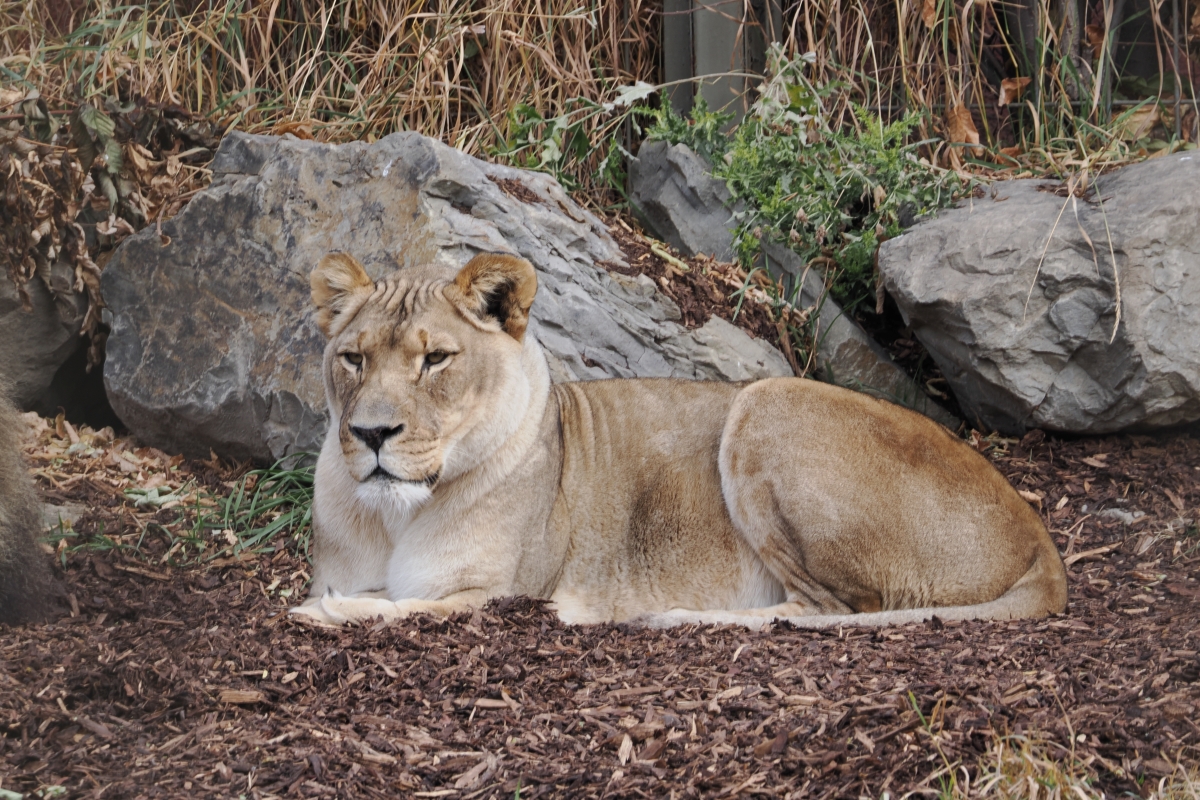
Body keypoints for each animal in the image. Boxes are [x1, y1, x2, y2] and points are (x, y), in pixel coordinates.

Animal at [291, 252, 1067, 630]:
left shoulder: (496, 591)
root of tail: (1039, 536)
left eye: (435, 360)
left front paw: (328, 611)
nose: (371, 433)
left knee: (832, 614)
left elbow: (398, 606)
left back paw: (656, 616)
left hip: (764, 401)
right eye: (352, 359)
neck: (394, 518)